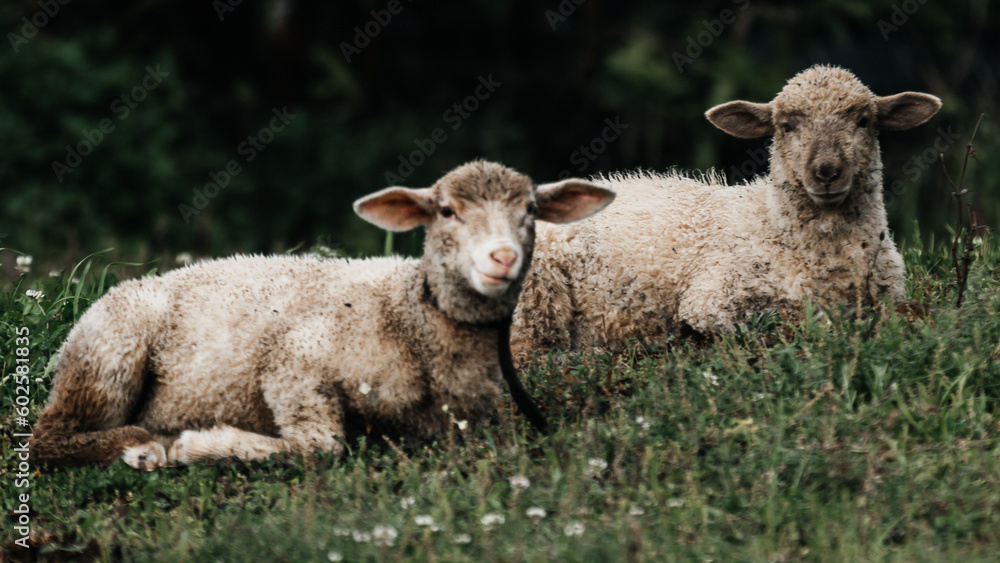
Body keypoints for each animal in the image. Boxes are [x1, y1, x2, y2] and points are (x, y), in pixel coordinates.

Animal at [30, 160, 615, 470]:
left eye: (531, 211)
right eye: (447, 211)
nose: (502, 258)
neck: (407, 316)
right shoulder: (295, 358)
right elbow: (321, 446)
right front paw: (205, 444)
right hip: (110, 352)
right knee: (48, 436)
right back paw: (142, 447)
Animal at [511, 65, 941, 364]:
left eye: (864, 120)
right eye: (786, 125)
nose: (826, 173)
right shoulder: (713, 297)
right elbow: (795, 318)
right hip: (534, 300)